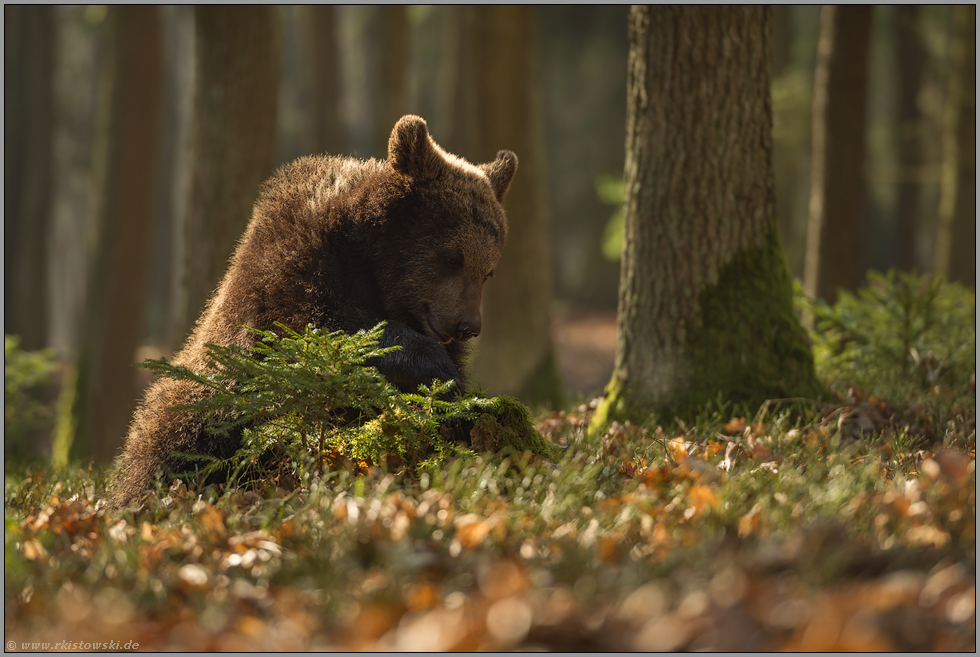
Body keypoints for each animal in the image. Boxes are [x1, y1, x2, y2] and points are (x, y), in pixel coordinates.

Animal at [110, 114, 516, 508]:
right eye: (452, 259)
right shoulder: (298, 272)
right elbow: (321, 334)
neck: (372, 264)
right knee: (176, 438)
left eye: (488, 271)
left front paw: (461, 398)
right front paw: (440, 373)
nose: (468, 325)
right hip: (205, 400)